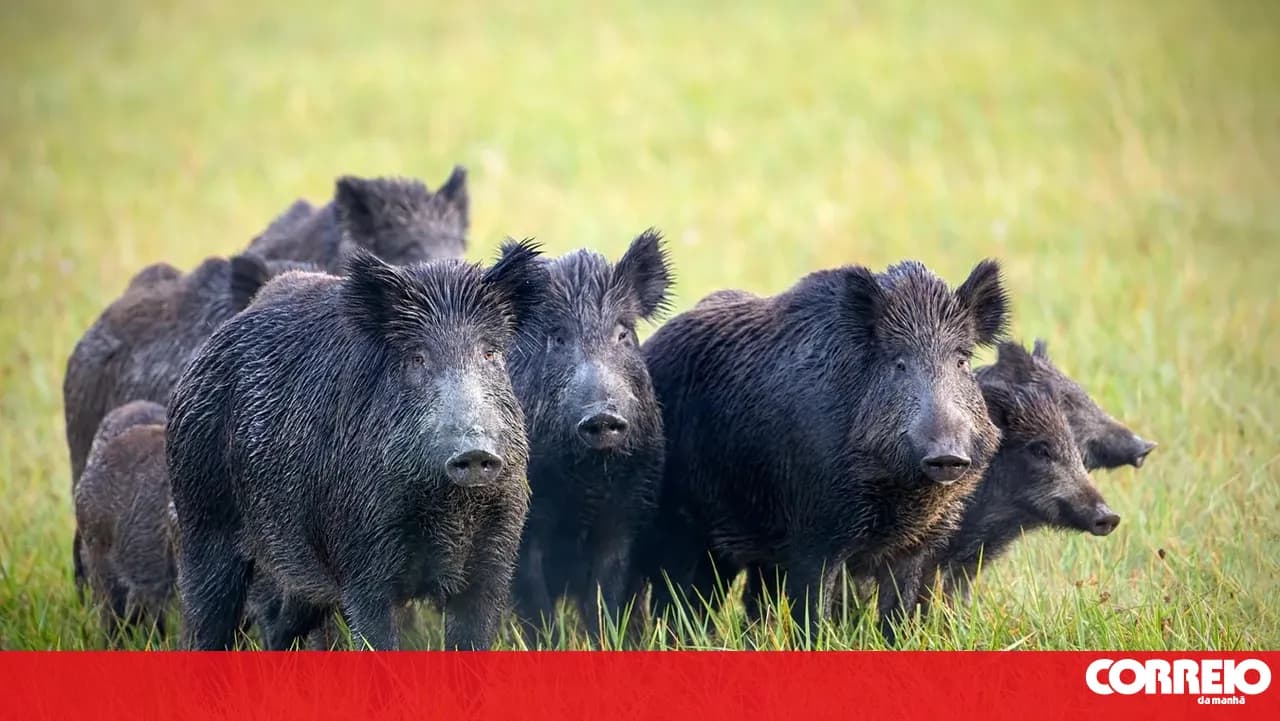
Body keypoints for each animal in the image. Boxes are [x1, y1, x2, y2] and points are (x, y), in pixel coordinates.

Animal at [166, 242, 548, 650]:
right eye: (417, 358)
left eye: (490, 354)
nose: (475, 451)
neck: (449, 507)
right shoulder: (363, 563)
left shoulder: (493, 561)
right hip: (202, 523)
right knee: (204, 618)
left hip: (298, 576)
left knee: (279, 625)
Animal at [508, 230, 673, 643]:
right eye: (558, 338)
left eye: (623, 333)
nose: (603, 416)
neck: (586, 482)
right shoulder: (525, 529)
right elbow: (535, 605)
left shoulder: (626, 515)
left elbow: (606, 598)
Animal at [635, 259, 1009, 640]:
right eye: (898, 362)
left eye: (962, 361)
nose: (947, 455)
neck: (900, 492)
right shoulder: (814, 535)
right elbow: (813, 615)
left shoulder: (914, 546)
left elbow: (897, 616)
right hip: (681, 526)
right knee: (677, 599)